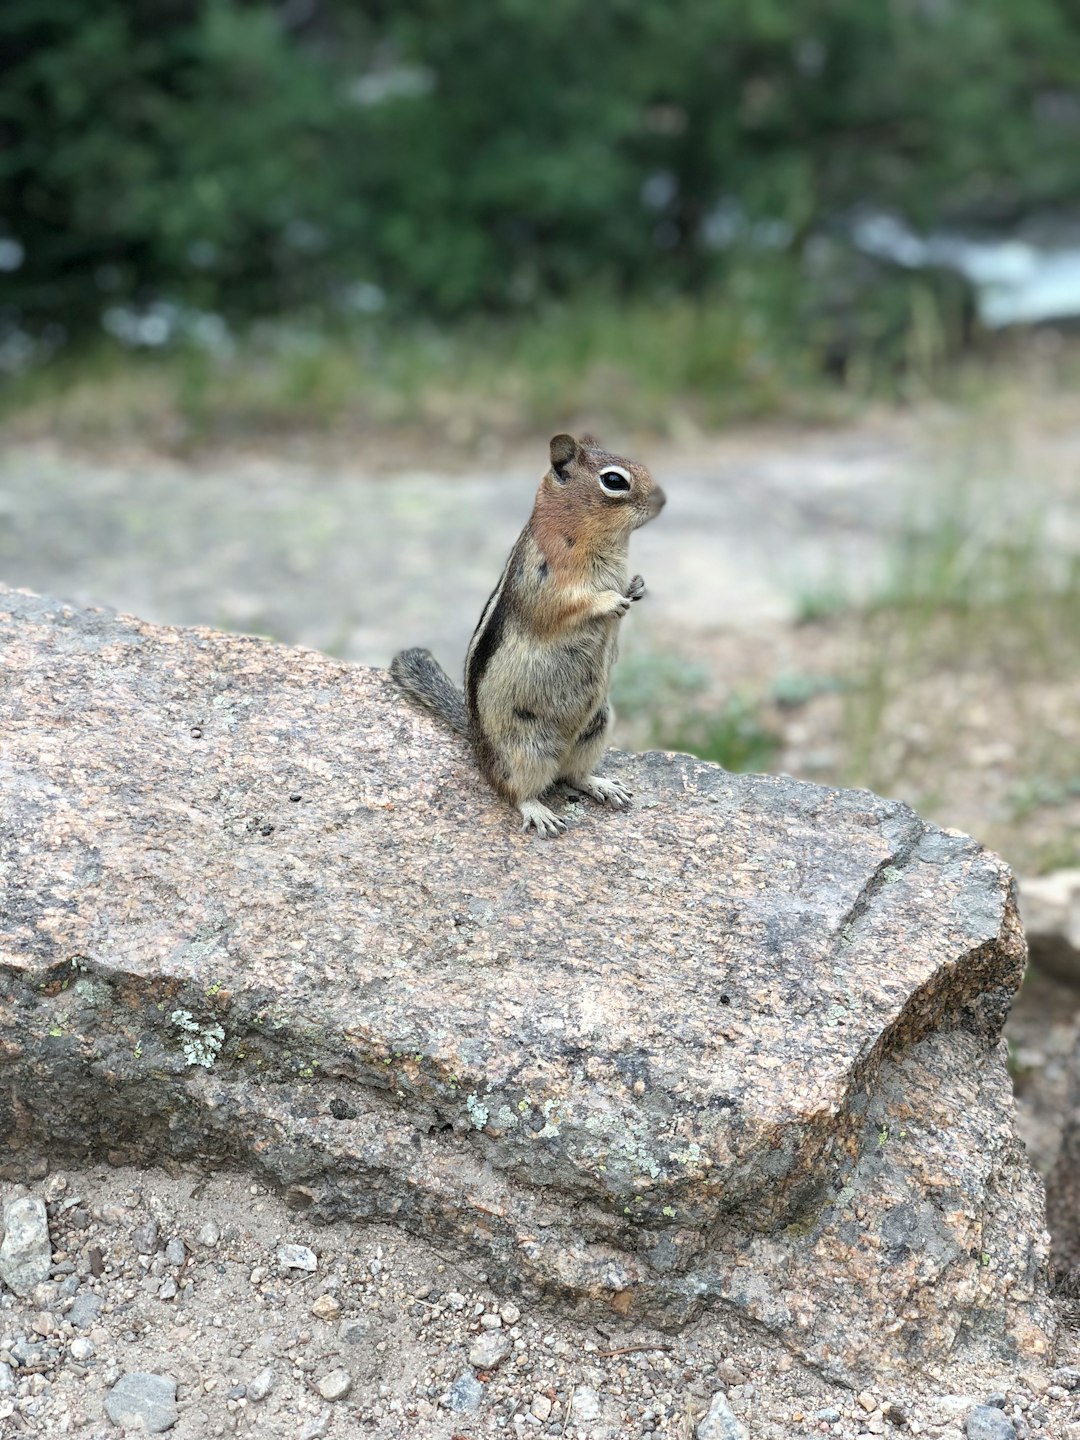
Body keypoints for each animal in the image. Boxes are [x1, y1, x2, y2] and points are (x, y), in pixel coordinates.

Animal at [394, 429, 665, 835]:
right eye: (614, 481)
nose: (662, 498)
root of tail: (477, 743)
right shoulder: (544, 580)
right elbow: (567, 606)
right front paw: (611, 600)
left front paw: (637, 586)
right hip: (523, 749)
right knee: (514, 789)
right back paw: (539, 811)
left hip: (596, 726)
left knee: (572, 775)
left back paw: (601, 785)